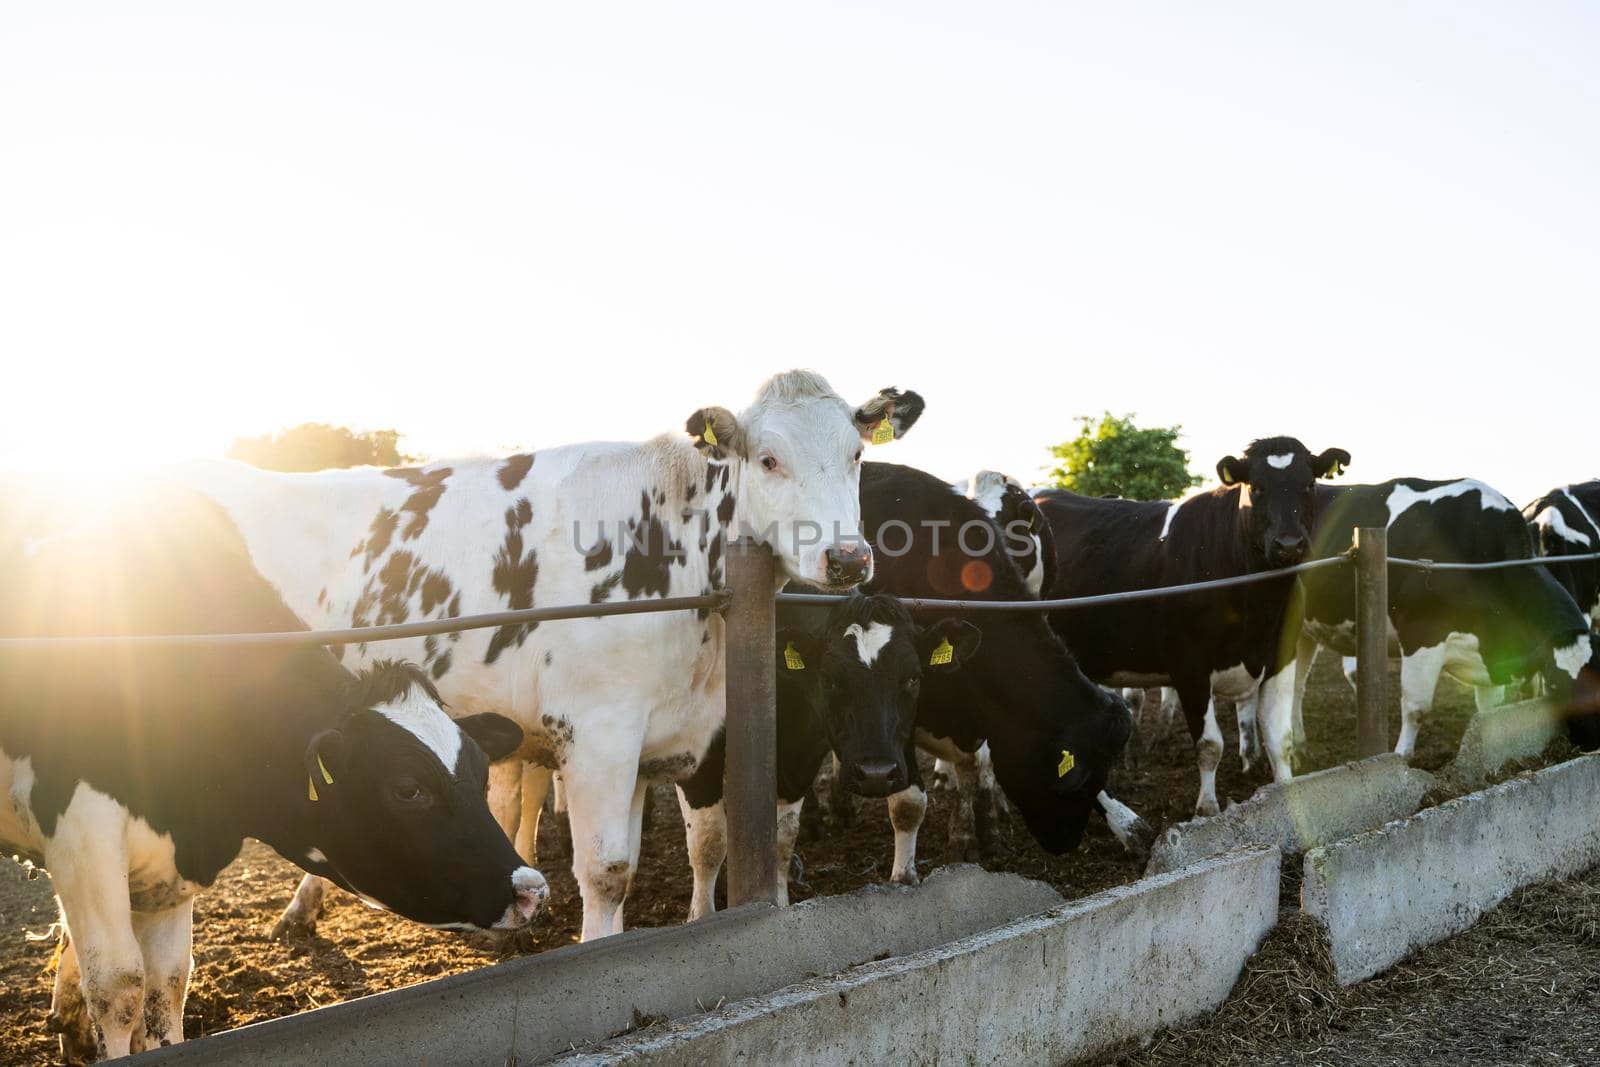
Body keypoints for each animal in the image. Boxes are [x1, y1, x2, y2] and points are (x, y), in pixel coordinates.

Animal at [0, 489, 544, 1062]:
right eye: (407, 788)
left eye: (482, 774)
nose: (532, 891)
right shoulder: (81, 831)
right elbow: (119, 985)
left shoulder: (173, 861)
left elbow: (167, 984)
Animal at [178, 371, 928, 940]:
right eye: (769, 459)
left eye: (856, 456)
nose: (848, 557)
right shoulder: (598, 733)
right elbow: (607, 871)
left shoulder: (657, 745)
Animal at [1036, 435, 1350, 819]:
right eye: (1256, 487)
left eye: (1309, 484)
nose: (1289, 545)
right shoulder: (1189, 666)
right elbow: (1210, 745)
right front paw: (1207, 808)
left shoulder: (1281, 657)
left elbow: (1280, 739)